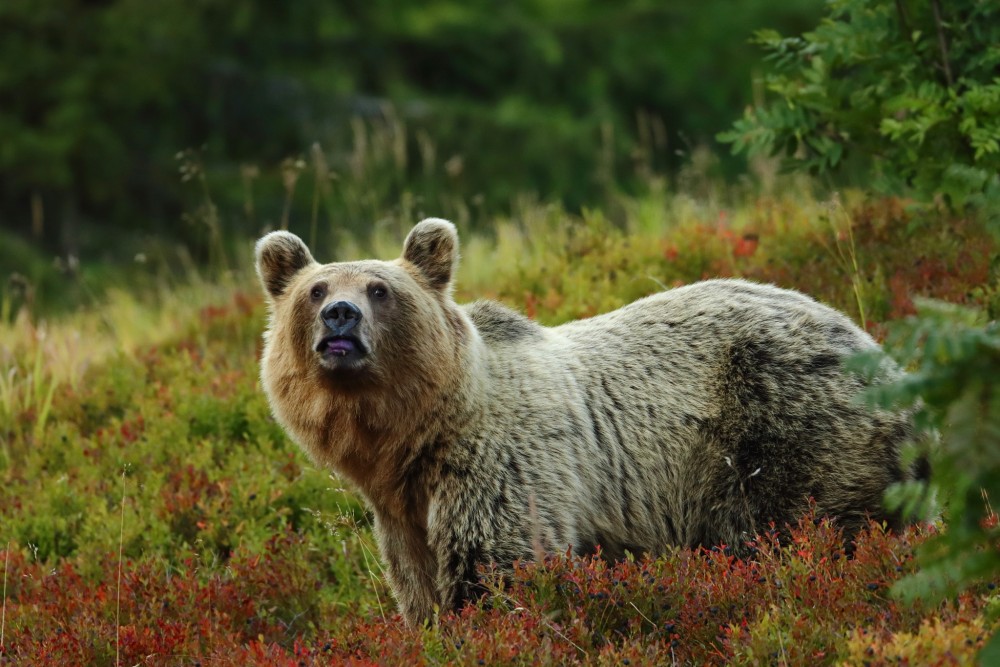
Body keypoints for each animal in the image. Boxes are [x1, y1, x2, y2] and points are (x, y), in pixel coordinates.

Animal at [256, 218, 920, 628]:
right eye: (315, 289)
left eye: (379, 288)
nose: (341, 316)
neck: (417, 434)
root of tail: (874, 346)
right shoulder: (401, 508)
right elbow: (418, 587)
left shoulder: (503, 465)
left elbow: (499, 565)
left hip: (786, 425)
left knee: (805, 526)